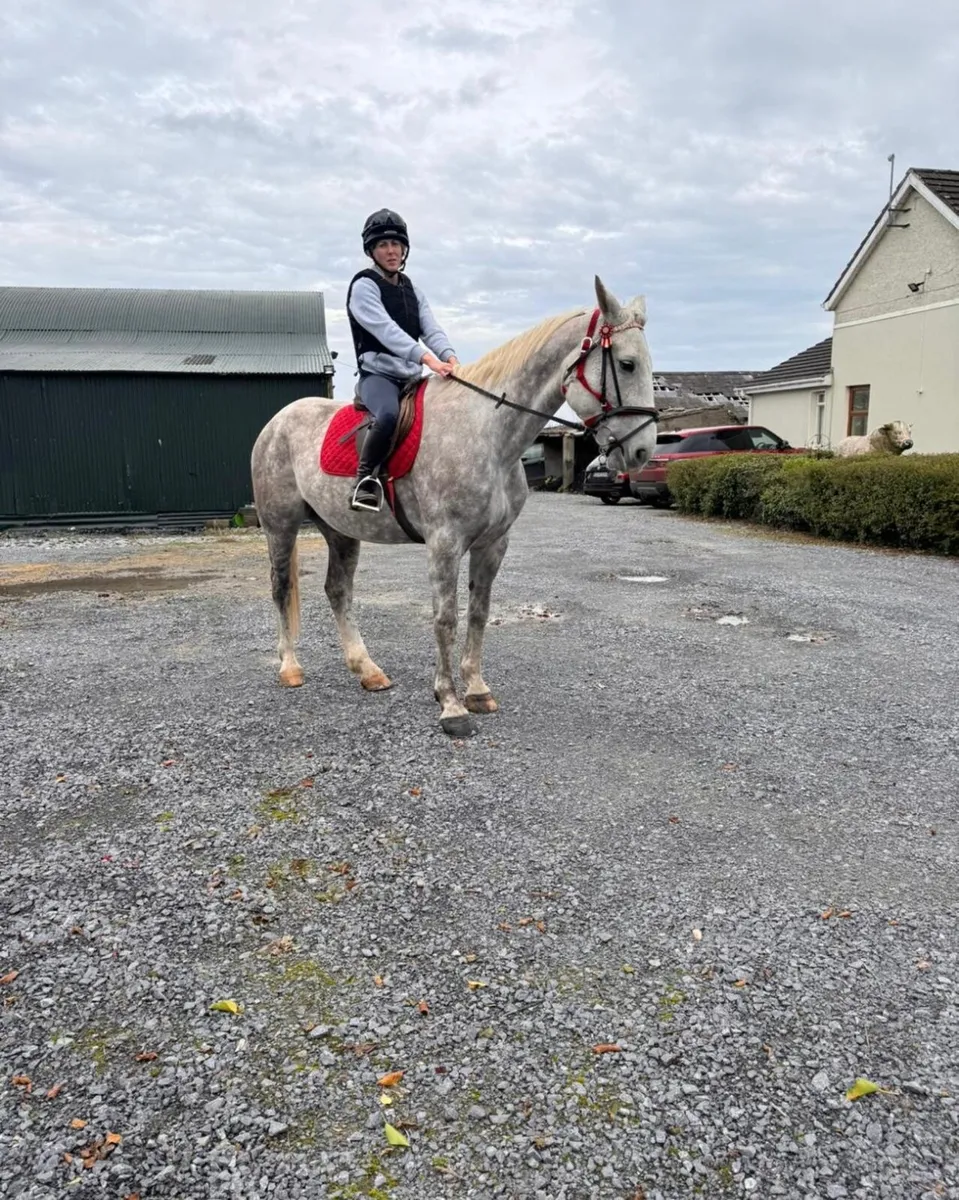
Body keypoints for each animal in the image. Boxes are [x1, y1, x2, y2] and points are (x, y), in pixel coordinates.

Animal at [250, 277, 658, 737]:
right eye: (627, 364)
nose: (643, 451)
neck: (488, 432)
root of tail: (276, 422)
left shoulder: (492, 544)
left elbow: (478, 613)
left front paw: (476, 690)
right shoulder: (444, 543)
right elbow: (445, 617)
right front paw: (450, 704)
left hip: (340, 532)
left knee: (338, 591)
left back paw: (367, 670)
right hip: (280, 526)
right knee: (281, 587)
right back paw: (289, 667)